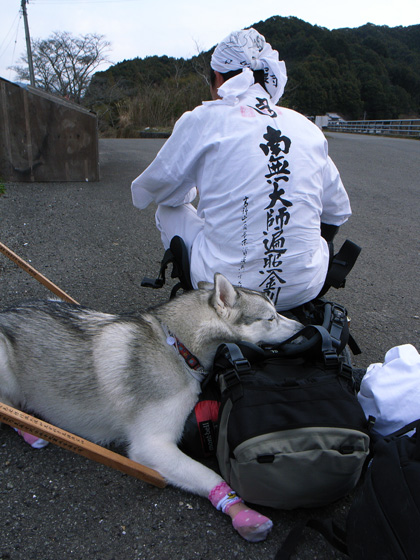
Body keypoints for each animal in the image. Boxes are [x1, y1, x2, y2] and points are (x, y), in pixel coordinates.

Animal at [0, 276, 302, 544]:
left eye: (277, 312)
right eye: (271, 318)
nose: (302, 326)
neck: (179, 347)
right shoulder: (151, 446)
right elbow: (209, 475)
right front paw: (243, 513)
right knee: (8, 406)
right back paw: (29, 428)